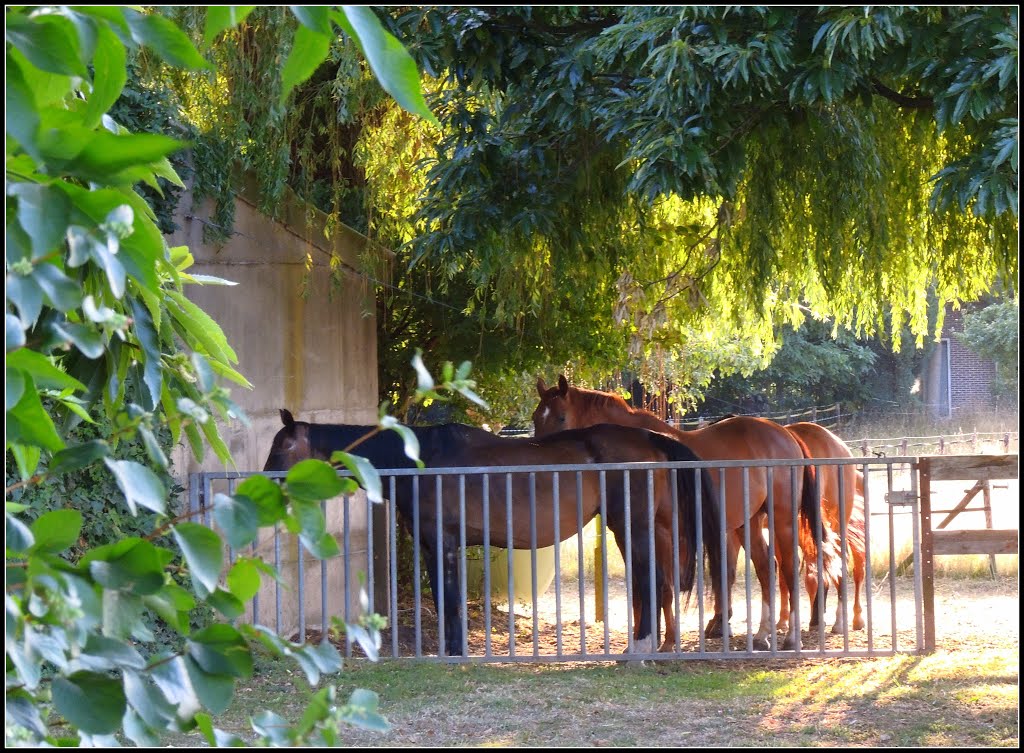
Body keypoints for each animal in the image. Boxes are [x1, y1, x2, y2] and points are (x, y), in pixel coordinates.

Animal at [264, 409, 729, 655]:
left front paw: (455, 652)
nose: (267, 482)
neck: (421, 459)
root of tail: (650, 437)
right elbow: (445, 600)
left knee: (651, 582)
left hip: (630, 526)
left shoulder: (442, 542)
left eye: (284, 446)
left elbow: (448, 600)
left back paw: (641, 646)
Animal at [528, 377, 839, 655]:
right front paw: (642, 641)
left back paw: (791, 638)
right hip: (748, 523)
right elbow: (640, 588)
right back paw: (762, 635)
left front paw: (666, 642)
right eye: (535, 418)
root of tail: (786, 434)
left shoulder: (662, 532)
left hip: (782, 519)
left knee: (788, 568)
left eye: (561, 417)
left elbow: (664, 585)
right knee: (766, 568)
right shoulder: (629, 536)